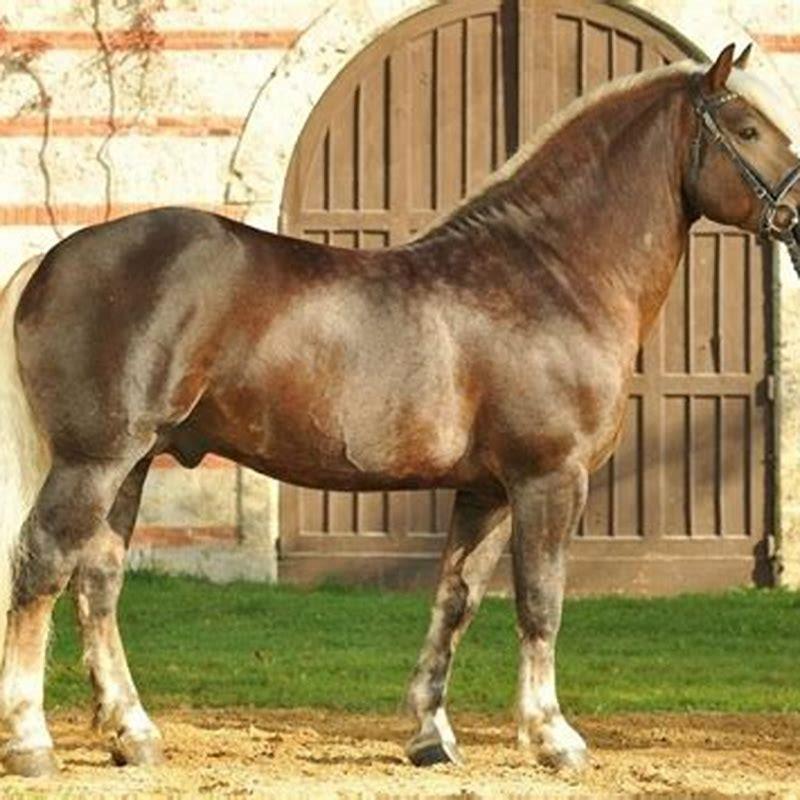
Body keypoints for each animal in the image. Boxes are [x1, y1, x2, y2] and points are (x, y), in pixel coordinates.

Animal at [0, 43, 798, 778]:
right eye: (747, 127)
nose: (797, 217)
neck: (550, 275)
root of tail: (50, 262)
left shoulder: (486, 491)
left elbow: (456, 600)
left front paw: (429, 736)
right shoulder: (549, 480)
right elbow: (540, 602)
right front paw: (553, 737)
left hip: (133, 464)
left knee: (98, 582)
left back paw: (133, 734)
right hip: (94, 461)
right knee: (42, 566)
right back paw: (31, 741)